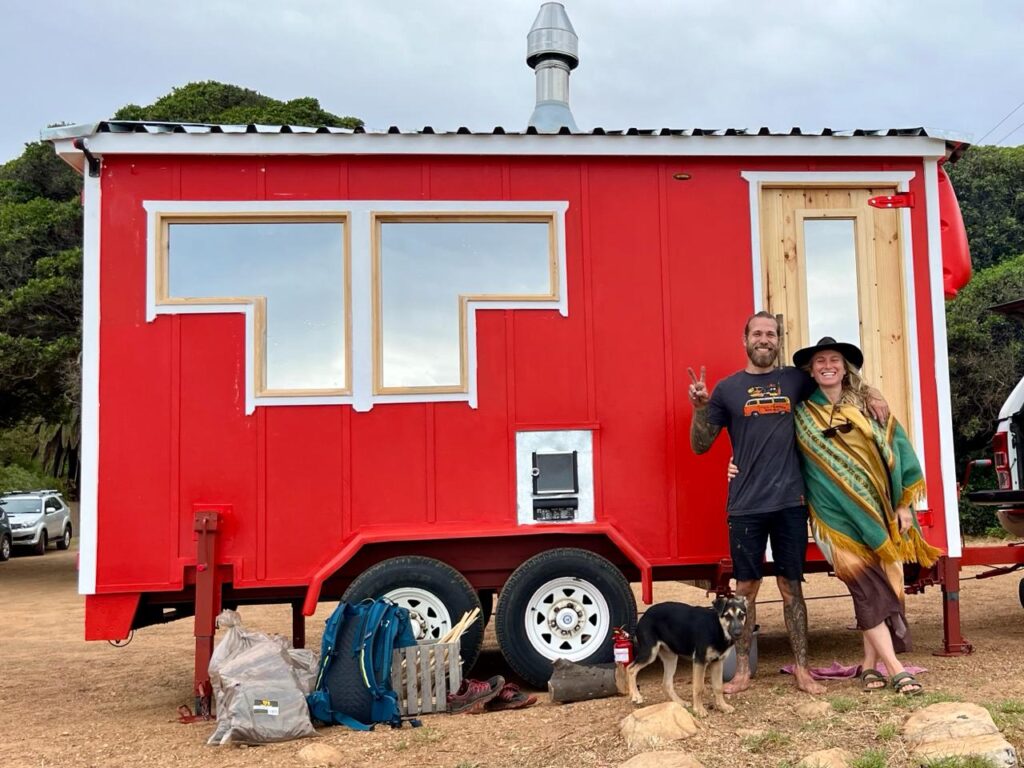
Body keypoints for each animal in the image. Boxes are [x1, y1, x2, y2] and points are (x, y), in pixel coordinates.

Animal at [618, 598, 749, 720]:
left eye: (742, 615)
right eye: (727, 616)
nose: (738, 633)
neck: (718, 628)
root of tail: (645, 615)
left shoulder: (718, 662)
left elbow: (718, 687)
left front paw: (723, 706)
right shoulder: (699, 661)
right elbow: (698, 687)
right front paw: (699, 710)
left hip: (671, 658)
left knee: (666, 683)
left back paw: (680, 702)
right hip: (650, 652)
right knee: (630, 668)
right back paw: (636, 696)